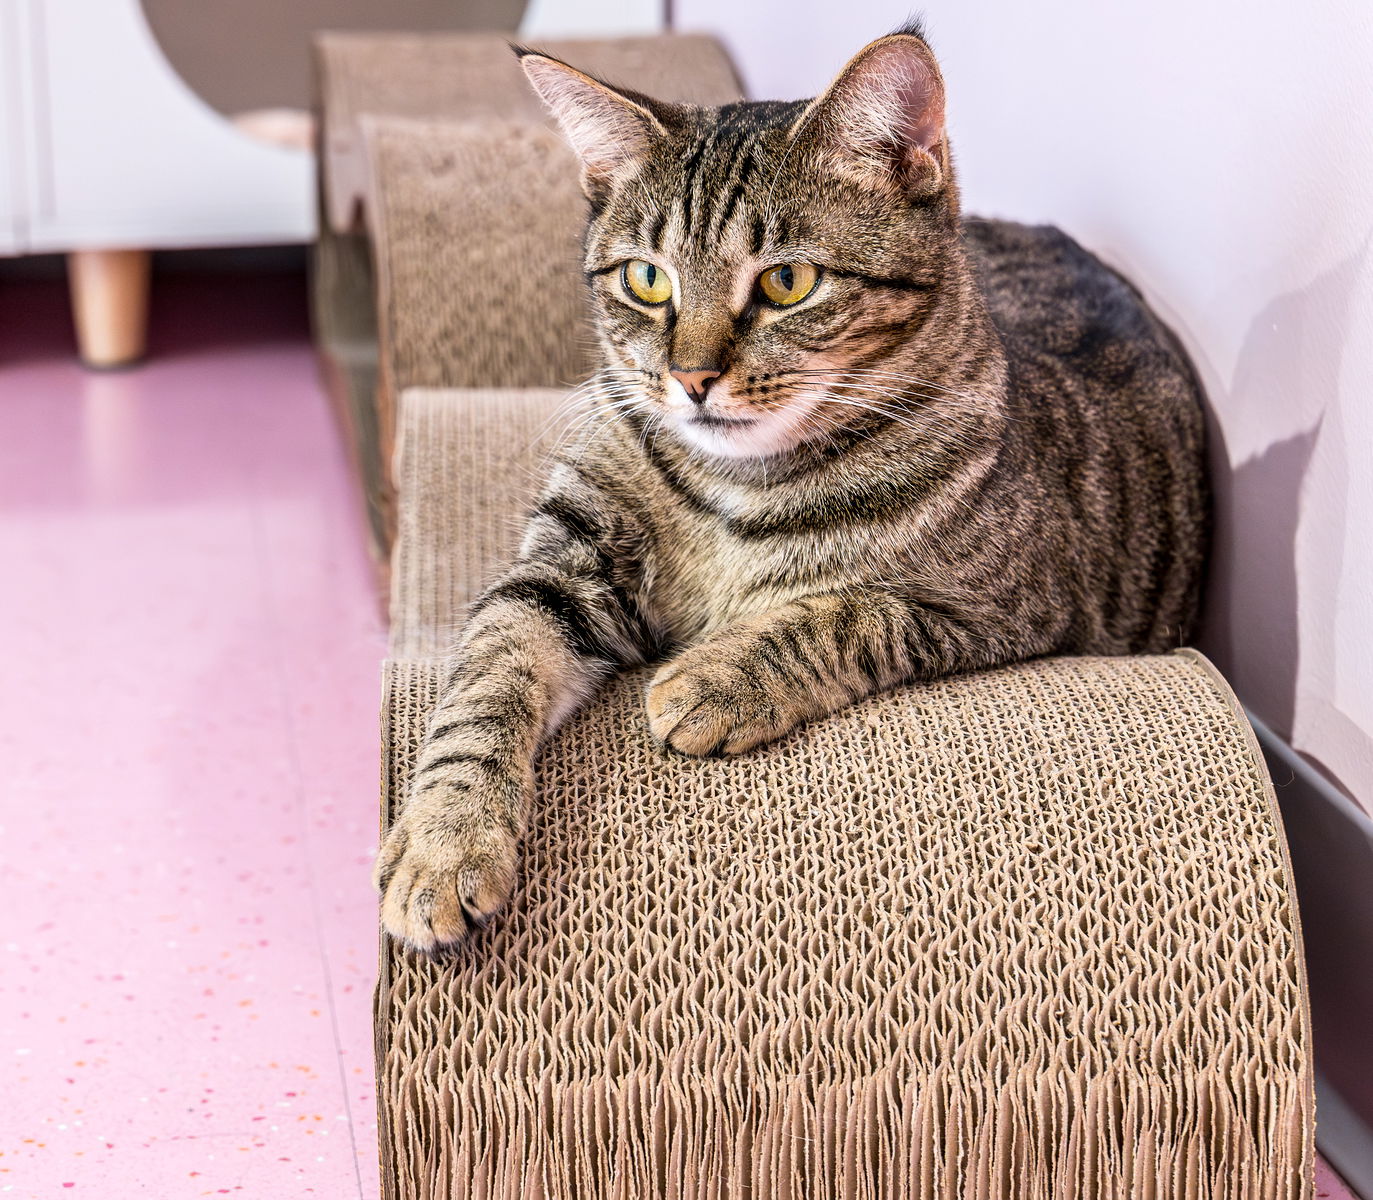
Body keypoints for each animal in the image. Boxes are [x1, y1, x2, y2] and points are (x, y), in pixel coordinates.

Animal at [370, 23, 1208, 950]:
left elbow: (846, 613)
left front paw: (711, 680)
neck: (731, 488)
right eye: (645, 279)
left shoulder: (1007, 608)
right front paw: (444, 840)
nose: (690, 378)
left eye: (786, 282)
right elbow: (486, 676)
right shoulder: (562, 566)